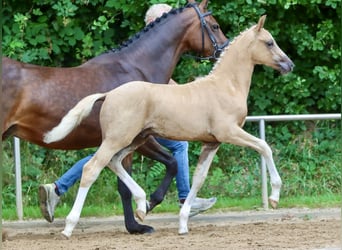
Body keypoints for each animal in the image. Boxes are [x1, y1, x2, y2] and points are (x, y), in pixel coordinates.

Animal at [2, 0, 230, 234]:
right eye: (214, 26)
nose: (225, 49)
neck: (136, 69)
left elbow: (166, 164)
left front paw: (143, 211)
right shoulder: (135, 139)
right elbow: (143, 177)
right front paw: (139, 219)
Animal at [44, 14, 294, 237]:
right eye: (269, 42)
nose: (289, 64)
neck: (225, 86)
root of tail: (108, 94)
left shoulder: (211, 143)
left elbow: (198, 178)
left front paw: (183, 224)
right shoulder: (229, 132)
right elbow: (264, 147)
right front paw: (274, 197)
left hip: (136, 139)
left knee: (114, 163)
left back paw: (142, 206)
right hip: (118, 139)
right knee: (91, 168)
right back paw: (69, 227)